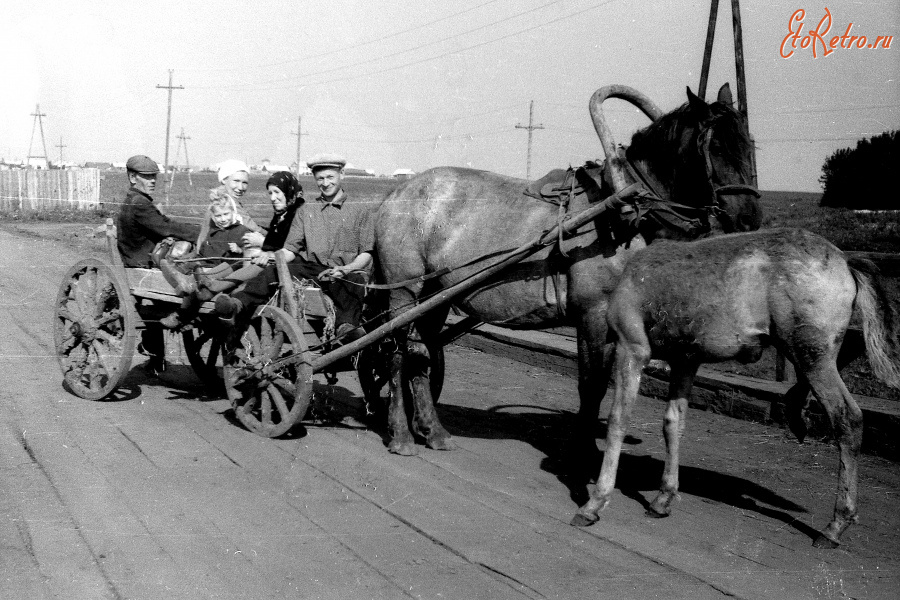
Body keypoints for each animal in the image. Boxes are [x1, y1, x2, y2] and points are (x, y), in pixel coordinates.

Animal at [372, 83, 760, 454]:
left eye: (749, 145)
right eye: (718, 147)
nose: (749, 220)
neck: (624, 212)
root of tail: (397, 193)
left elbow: (605, 383)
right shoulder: (593, 315)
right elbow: (591, 384)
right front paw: (583, 449)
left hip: (435, 296)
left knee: (421, 353)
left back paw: (433, 430)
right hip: (404, 290)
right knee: (395, 353)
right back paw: (401, 434)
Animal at [568, 229, 900, 548]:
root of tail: (845, 260)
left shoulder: (632, 346)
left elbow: (618, 420)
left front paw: (594, 503)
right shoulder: (686, 358)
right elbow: (673, 422)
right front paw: (663, 498)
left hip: (810, 352)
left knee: (848, 417)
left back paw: (835, 524)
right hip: (811, 351)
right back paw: (797, 412)